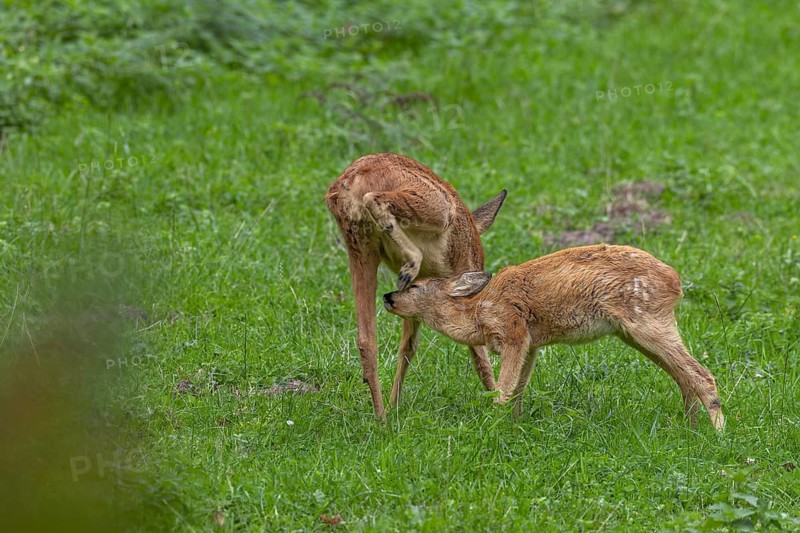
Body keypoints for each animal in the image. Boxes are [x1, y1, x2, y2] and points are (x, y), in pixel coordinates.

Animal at [325, 153, 507, 420]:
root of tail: (349, 181)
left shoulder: (415, 298)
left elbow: (408, 345)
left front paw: (394, 405)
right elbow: (477, 351)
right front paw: (496, 401)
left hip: (359, 246)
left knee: (366, 340)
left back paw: (382, 418)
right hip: (435, 206)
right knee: (375, 199)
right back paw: (410, 263)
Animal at [383, 243, 726, 430]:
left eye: (415, 285)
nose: (387, 297)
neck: (477, 313)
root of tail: (676, 282)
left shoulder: (513, 331)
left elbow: (503, 391)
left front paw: (490, 426)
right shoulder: (532, 344)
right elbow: (519, 391)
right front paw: (514, 426)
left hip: (646, 321)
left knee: (701, 374)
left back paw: (718, 433)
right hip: (634, 331)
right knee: (683, 376)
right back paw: (692, 429)